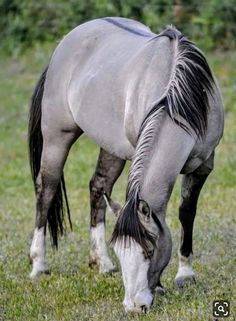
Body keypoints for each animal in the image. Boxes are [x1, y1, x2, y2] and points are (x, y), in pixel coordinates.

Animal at [27, 16, 223, 312]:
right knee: (46, 190)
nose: (133, 306)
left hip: (112, 147)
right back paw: (39, 265)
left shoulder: (203, 166)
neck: (177, 97)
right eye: (122, 251)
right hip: (57, 137)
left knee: (98, 187)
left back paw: (102, 263)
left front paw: (185, 274)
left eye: (150, 250)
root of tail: (65, 43)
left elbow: (186, 213)